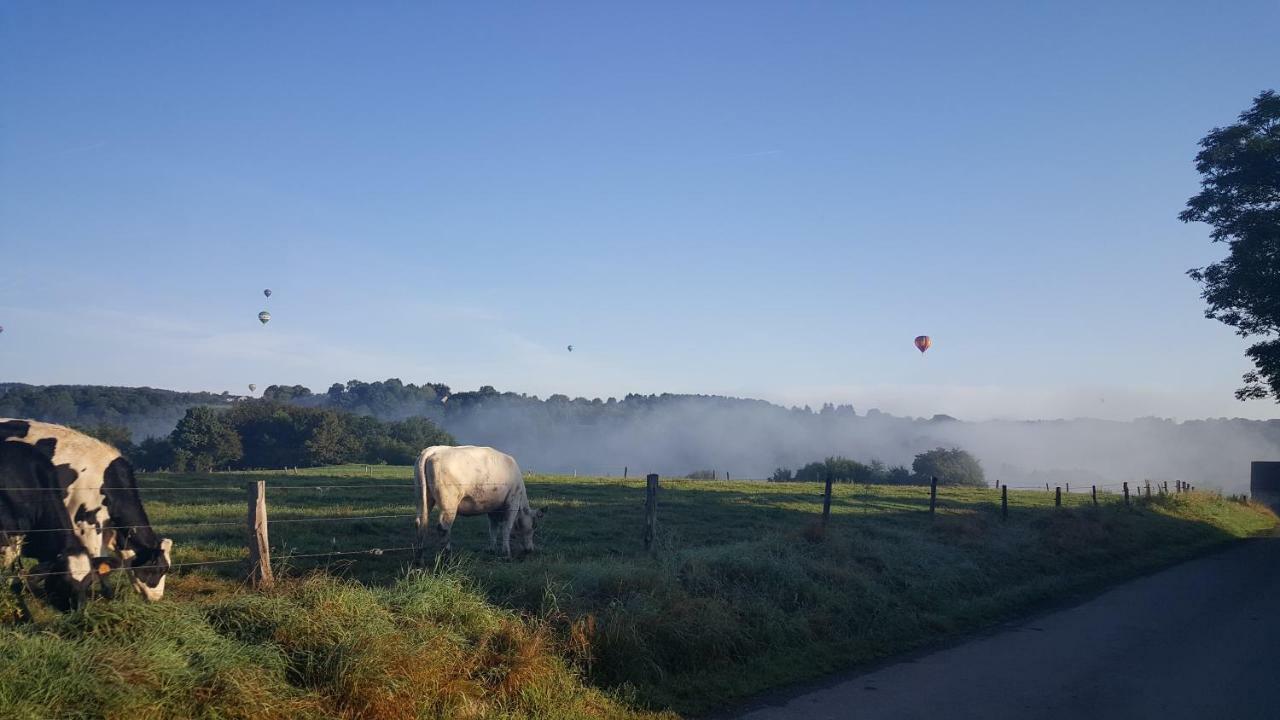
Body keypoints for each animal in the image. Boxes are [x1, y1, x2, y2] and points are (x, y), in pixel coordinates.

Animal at [414, 443, 545, 556]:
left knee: (420, 523)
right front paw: (506, 552)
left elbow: (493, 529)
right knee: (444, 528)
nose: (530, 550)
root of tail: (433, 450)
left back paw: (419, 559)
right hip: (449, 504)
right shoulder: (512, 502)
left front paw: (492, 549)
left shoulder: (493, 508)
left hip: (423, 498)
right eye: (534, 526)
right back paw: (447, 557)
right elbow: (506, 528)